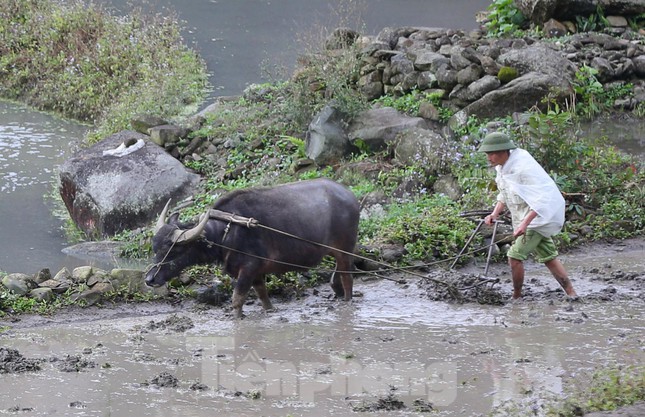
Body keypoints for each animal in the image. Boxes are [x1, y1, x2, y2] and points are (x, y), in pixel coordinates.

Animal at [143, 177, 360, 316]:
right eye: (155, 248)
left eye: (173, 250)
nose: (149, 279)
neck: (227, 232)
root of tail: (351, 197)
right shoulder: (256, 273)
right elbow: (263, 296)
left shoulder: (248, 269)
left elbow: (237, 300)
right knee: (337, 276)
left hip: (346, 249)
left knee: (347, 278)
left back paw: (347, 300)